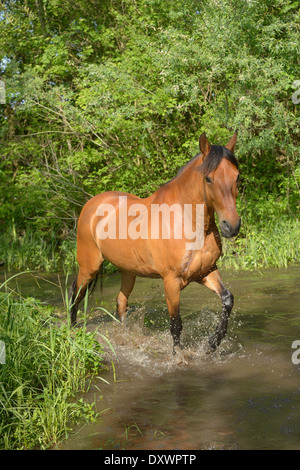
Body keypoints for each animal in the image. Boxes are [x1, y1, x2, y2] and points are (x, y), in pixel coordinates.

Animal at [69, 131, 241, 352]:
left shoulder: (206, 271)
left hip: (128, 271)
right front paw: (178, 356)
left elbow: (227, 300)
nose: (232, 225)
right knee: (76, 293)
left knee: (120, 302)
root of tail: (91, 204)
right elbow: (175, 324)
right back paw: (73, 332)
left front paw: (212, 343)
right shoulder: (171, 281)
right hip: (89, 266)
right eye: (209, 179)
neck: (187, 220)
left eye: (237, 176)